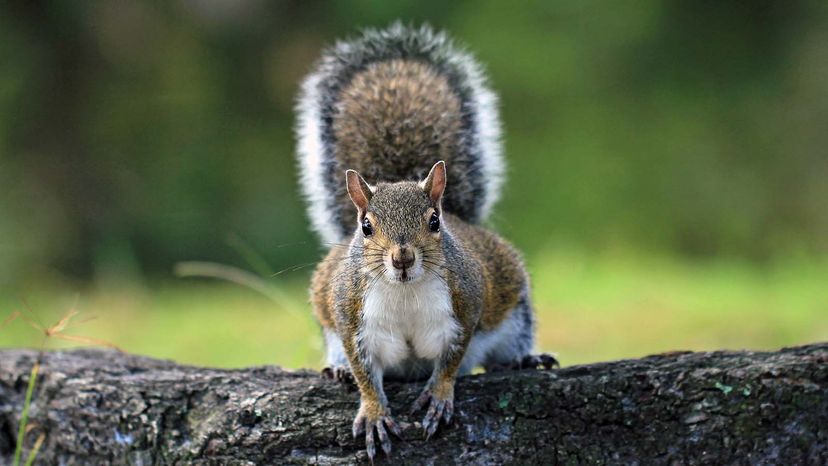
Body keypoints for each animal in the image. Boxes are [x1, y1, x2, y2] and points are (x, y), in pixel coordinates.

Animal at [292, 21, 556, 458]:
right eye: (366, 226)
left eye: (435, 221)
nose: (402, 258)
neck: (404, 292)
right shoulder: (351, 319)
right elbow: (365, 373)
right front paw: (374, 411)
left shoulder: (465, 306)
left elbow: (451, 361)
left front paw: (439, 394)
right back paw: (336, 369)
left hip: (514, 315)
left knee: (505, 346)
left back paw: (520, 361)